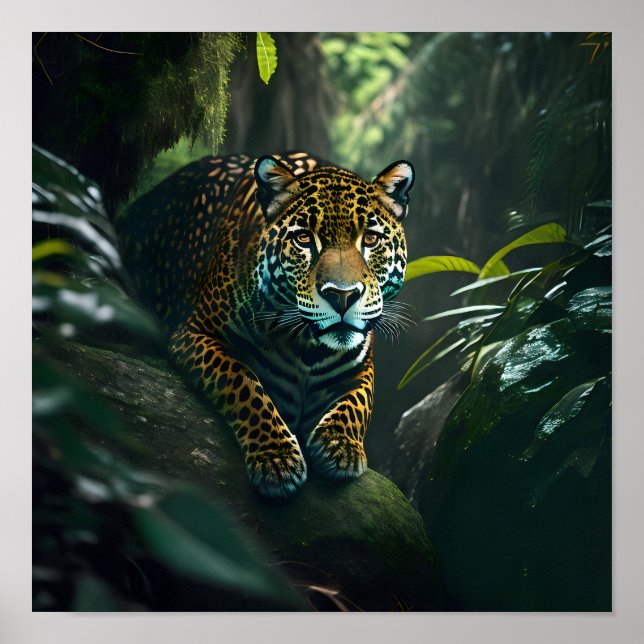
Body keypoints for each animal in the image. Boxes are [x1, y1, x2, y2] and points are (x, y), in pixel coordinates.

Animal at [117, 151, 414, 498]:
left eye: (370, 239)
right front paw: (277, 459)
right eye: (304, 239)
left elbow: (359, 403)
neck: (306, 347)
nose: (342, 296)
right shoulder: (195, 332)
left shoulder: (361, 366)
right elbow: (242, 380)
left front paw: (340, 447)